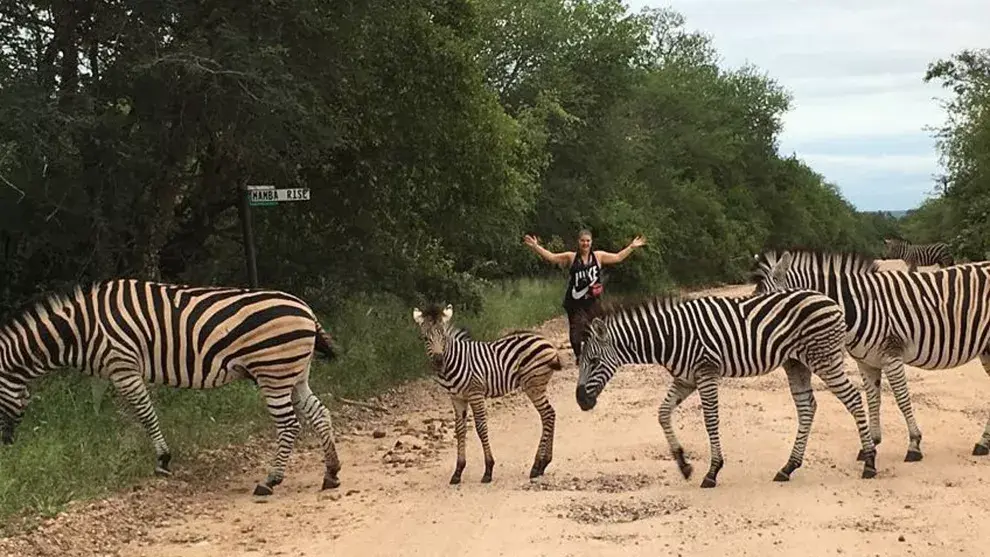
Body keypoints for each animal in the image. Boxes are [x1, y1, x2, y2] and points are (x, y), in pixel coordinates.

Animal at [0, 278, 344, 496]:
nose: (6, 449)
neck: (80, 330)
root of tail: (306, 310)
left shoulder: (124, 367)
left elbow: (145, 415)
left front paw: (163, 460)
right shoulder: (117, 373)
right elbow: (128, 416)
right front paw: (128, 453)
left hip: (273, 374)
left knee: (289, 425)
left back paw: (271, 480)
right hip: (294, 374)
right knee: (320, 414)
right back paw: (331, 472)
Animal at [410, 304, 560, 482]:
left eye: (444, 338)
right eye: (426, 338)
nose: (439, 362)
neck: (455, 360)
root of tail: (546, 341)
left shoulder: (475, 393)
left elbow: (481, 428)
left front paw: (488, 470)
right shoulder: (457, 398)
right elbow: (460, 430)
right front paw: (458, 472)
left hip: (533, 385)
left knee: (548, 414)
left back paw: (537, 466)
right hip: (538, 386)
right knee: (549, 414)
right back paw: (543, 463)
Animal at [576, 288, 880, 484]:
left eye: (593, 361)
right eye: (581, 361)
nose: (581, 401)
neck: (670, 336)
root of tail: (832, 302)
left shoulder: (706, 371)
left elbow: (710, 420)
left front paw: (712, 472)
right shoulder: (685, 379)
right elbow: (662, 413)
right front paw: (683, 464)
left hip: (824, 359)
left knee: (853, 398)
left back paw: (869, 461)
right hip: (796, 363)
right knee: (808, 407)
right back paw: (788, 468)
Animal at [752, 250, 990, 462]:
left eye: (766, 305)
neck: (856, 306)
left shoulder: (891, 355)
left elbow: (902, 399)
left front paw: (913, 445)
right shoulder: (866, 361)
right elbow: (873, 399)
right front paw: (872, 444)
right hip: (986, 349)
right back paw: (983, 444)